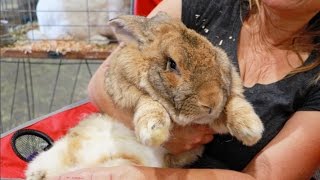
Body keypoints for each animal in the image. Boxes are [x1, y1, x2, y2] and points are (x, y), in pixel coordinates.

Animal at [25, 11, 264, 179]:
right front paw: (154, 130)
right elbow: (147, 99)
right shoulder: (122, 86)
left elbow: (234, 102)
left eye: (215, 55)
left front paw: (251, 129)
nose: (211, 102)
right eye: (172, 64)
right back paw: (37, 173)